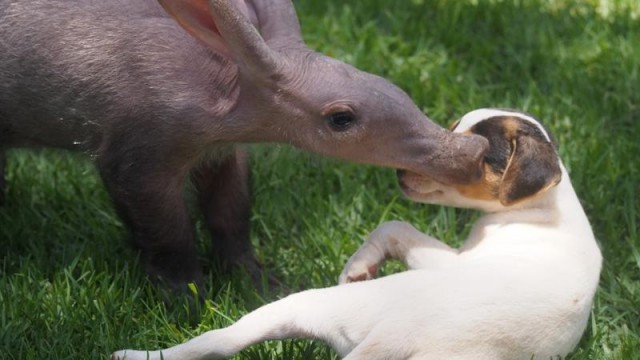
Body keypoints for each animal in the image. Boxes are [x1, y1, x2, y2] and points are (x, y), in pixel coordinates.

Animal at [112, 109, 604, 360]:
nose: (400, 169)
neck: (545, 207)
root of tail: (404, 334)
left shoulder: (451, 258)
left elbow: (395, 225)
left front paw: (357, 266)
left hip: (305, 304)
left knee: (210, 343)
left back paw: (132, 355)